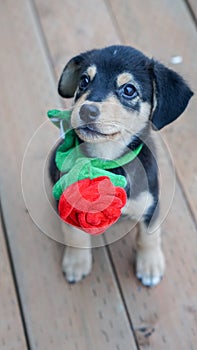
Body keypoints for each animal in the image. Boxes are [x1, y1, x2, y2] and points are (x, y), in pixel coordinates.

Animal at [50, 45, 193, 288]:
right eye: (84, 81)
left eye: (129, 90)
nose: (87, 110)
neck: (105, 160)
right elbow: (75, 236)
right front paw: (76, 264)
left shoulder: (150, 203)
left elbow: (149, 236)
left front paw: (150, 265)